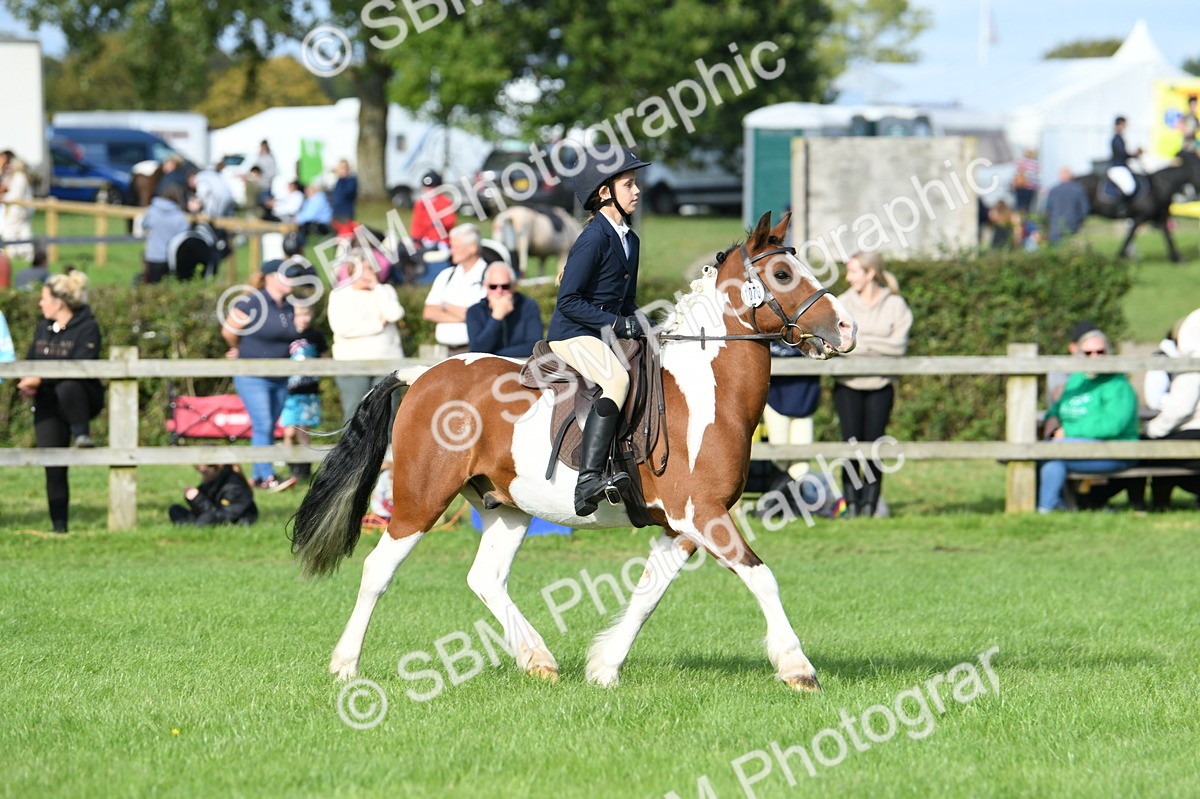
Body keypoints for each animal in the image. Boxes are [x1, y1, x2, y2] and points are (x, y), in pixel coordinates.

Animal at [290, 211, 857, 692]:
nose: (847, 328)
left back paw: (537, 659)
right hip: (420, 499)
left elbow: (648, 594)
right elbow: (762, 577)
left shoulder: (683, 526)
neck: (704, 390)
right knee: (378, 569)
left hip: (508, 506)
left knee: (485, 578)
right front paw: (798, 668)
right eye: (782, 272)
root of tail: (424, 373)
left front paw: (604, 668)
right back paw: (345, 666)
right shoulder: (704, 515)